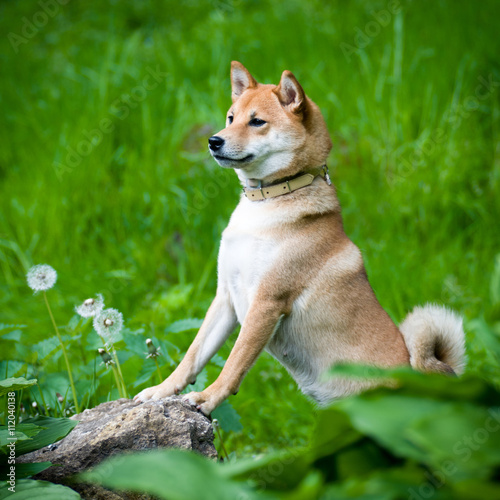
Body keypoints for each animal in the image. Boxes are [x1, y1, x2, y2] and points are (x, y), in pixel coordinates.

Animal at [135, 61, 466, 414]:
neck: (266, 202)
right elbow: (192, 356)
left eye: (257, 121)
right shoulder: (225, 297)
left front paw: (206, 398)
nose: (213, 141)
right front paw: (161, 391)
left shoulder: (266, 304)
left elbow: (234, 364)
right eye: (231, 118)